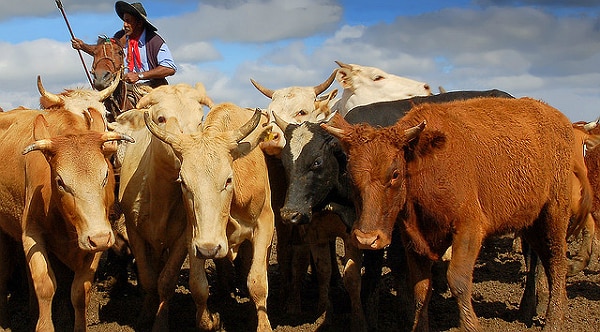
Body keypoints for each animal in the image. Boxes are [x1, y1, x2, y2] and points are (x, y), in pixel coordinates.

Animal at [0, 107, 131, 332]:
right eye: (60, 181)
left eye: (105, 175)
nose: (99, 237)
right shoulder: (32, 235)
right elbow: (45, 285)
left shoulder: (97, 241)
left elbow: (80, 291)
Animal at [111, 81, 212, 330]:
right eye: (161, 118)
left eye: (200, 119)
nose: (191, 153)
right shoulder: (134, 231)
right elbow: (148, 278)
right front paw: (146, 314)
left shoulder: (183, 237)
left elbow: (166, 280)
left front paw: (160, 321)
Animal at [144, 104, 276, 332]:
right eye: (183, 182)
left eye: (228, 180)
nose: (209, 249)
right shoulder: (193, 234)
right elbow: (198, 286)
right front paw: (209, 320)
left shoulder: (265, 223)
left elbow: (257, 283)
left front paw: (263, 325)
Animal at [322, 98, 588, 332]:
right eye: (349, 175)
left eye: (395, 173)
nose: (367, 239)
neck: (426, 165)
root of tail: (558, 118)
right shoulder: (413, 239)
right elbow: (421, 289)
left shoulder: (469, 229)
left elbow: (458, 280)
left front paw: (471, 326)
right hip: (531, 222)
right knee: (542, 260)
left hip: (555, 213)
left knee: (557, 262)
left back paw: (553, 320)